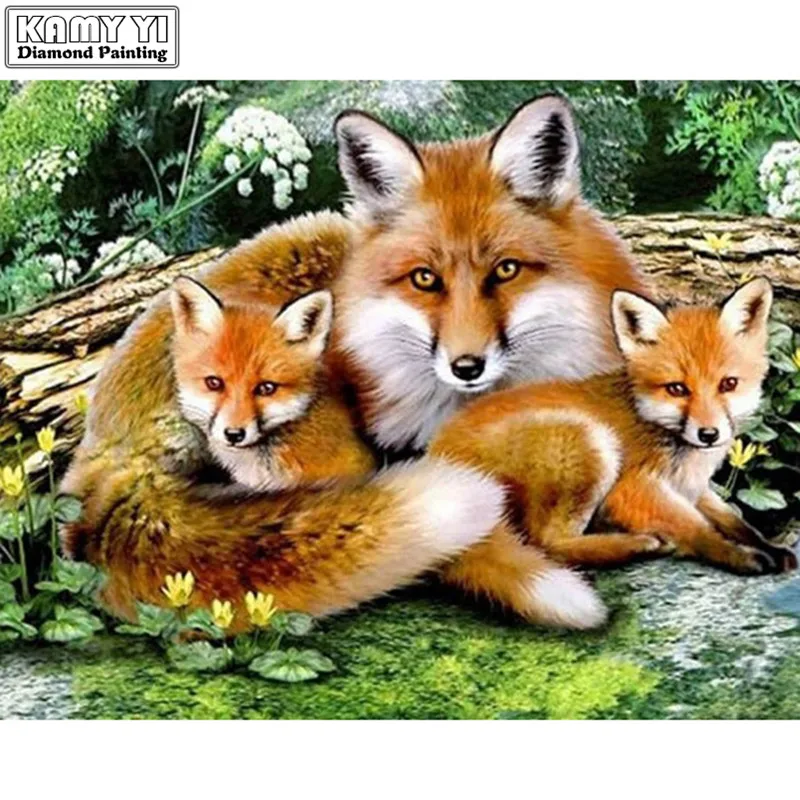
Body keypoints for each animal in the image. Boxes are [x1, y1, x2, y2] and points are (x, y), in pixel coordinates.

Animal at [431, 278, 797, 576]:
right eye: (677, 388)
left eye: (728, 384)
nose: (709, 435)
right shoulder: (632, 489)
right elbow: (698, 529)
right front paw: (736, 554)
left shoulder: (691, 488)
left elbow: (733, 520)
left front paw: (769, 546)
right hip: (590, 442)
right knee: (548, 544)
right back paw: (637, 544)